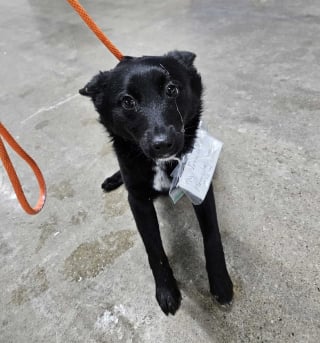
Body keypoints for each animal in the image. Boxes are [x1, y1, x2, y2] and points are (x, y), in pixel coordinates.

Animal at [79, 49, 234, 316]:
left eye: (172, 89)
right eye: (127, 101)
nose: (163, 144)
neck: (162, 163)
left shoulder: (201, 192)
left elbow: (212, 236)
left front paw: (220, 282)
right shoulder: (138, 200)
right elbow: (154, 249)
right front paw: (166, 290)